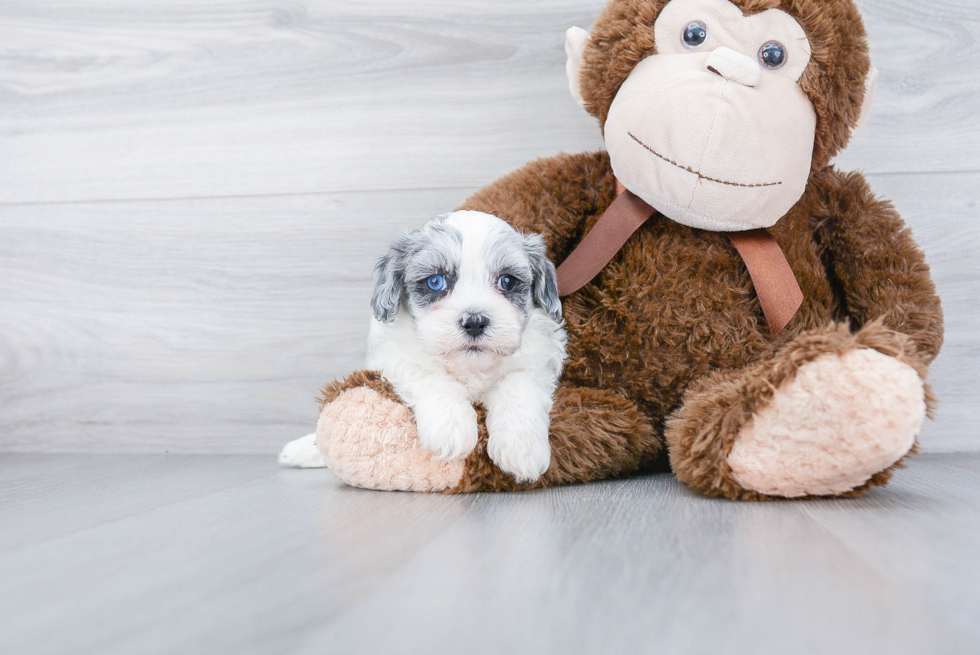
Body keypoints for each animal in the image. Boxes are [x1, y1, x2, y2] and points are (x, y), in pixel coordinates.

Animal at [276, 210, 568, 482]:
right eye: (435, 281)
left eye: (507, 281)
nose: (474, 321)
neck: (469, 368)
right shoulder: (395, 357)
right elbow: (429, 375)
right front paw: (451, 427)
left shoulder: (538, 360)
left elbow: (518, 385)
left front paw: (521, 447)